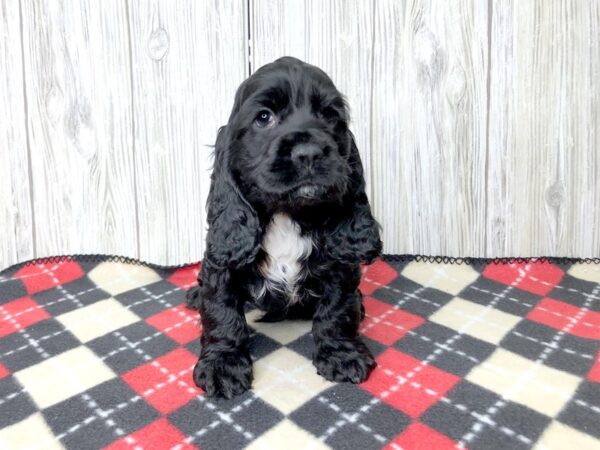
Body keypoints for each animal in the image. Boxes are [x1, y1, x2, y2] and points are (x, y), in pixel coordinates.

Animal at [188, 56, 382, 398]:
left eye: (330, 116)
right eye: (264, 117)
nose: (309, 153)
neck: (287, 215)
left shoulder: (339, 267)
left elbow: (337, 310)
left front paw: (342, 354)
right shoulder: (221, 266)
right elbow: (222, 313)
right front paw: (223, 365)